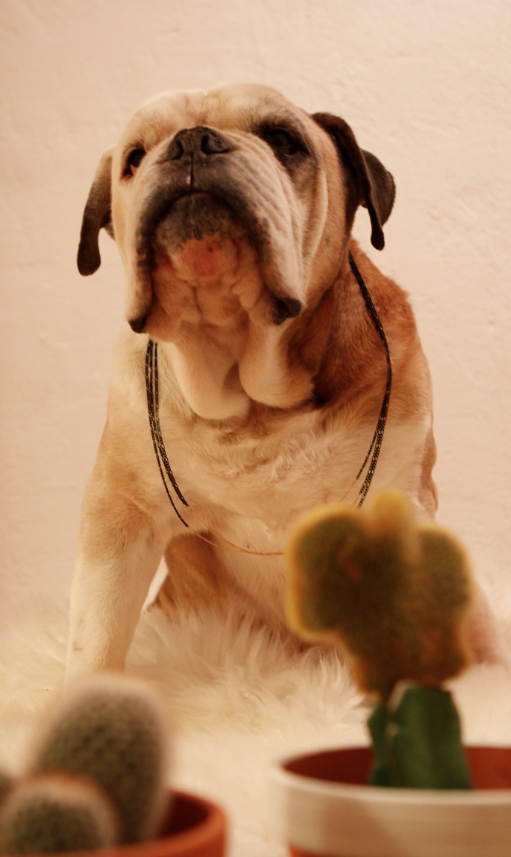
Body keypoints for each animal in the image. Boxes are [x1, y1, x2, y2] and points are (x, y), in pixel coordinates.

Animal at [66, 83, 503, 678]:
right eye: (134, 158)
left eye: (282, 139)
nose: (190, 142)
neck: (253, 404)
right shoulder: (120, 517)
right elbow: (97, 637)